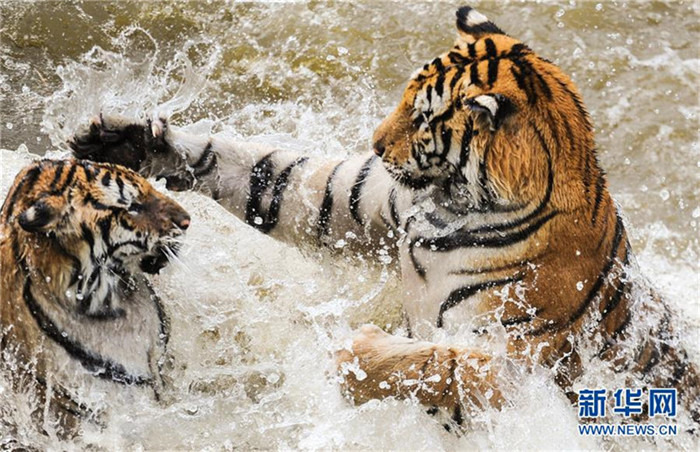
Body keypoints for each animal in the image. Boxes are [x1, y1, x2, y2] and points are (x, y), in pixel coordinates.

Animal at [68, 5, 699, 431]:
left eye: (422, 118)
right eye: (405, 96)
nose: (373, 143)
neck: (451, 210)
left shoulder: (518, 367)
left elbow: (437, 364)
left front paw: (356, 348)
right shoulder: (353, 205)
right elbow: (265, 171)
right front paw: (126, 141)